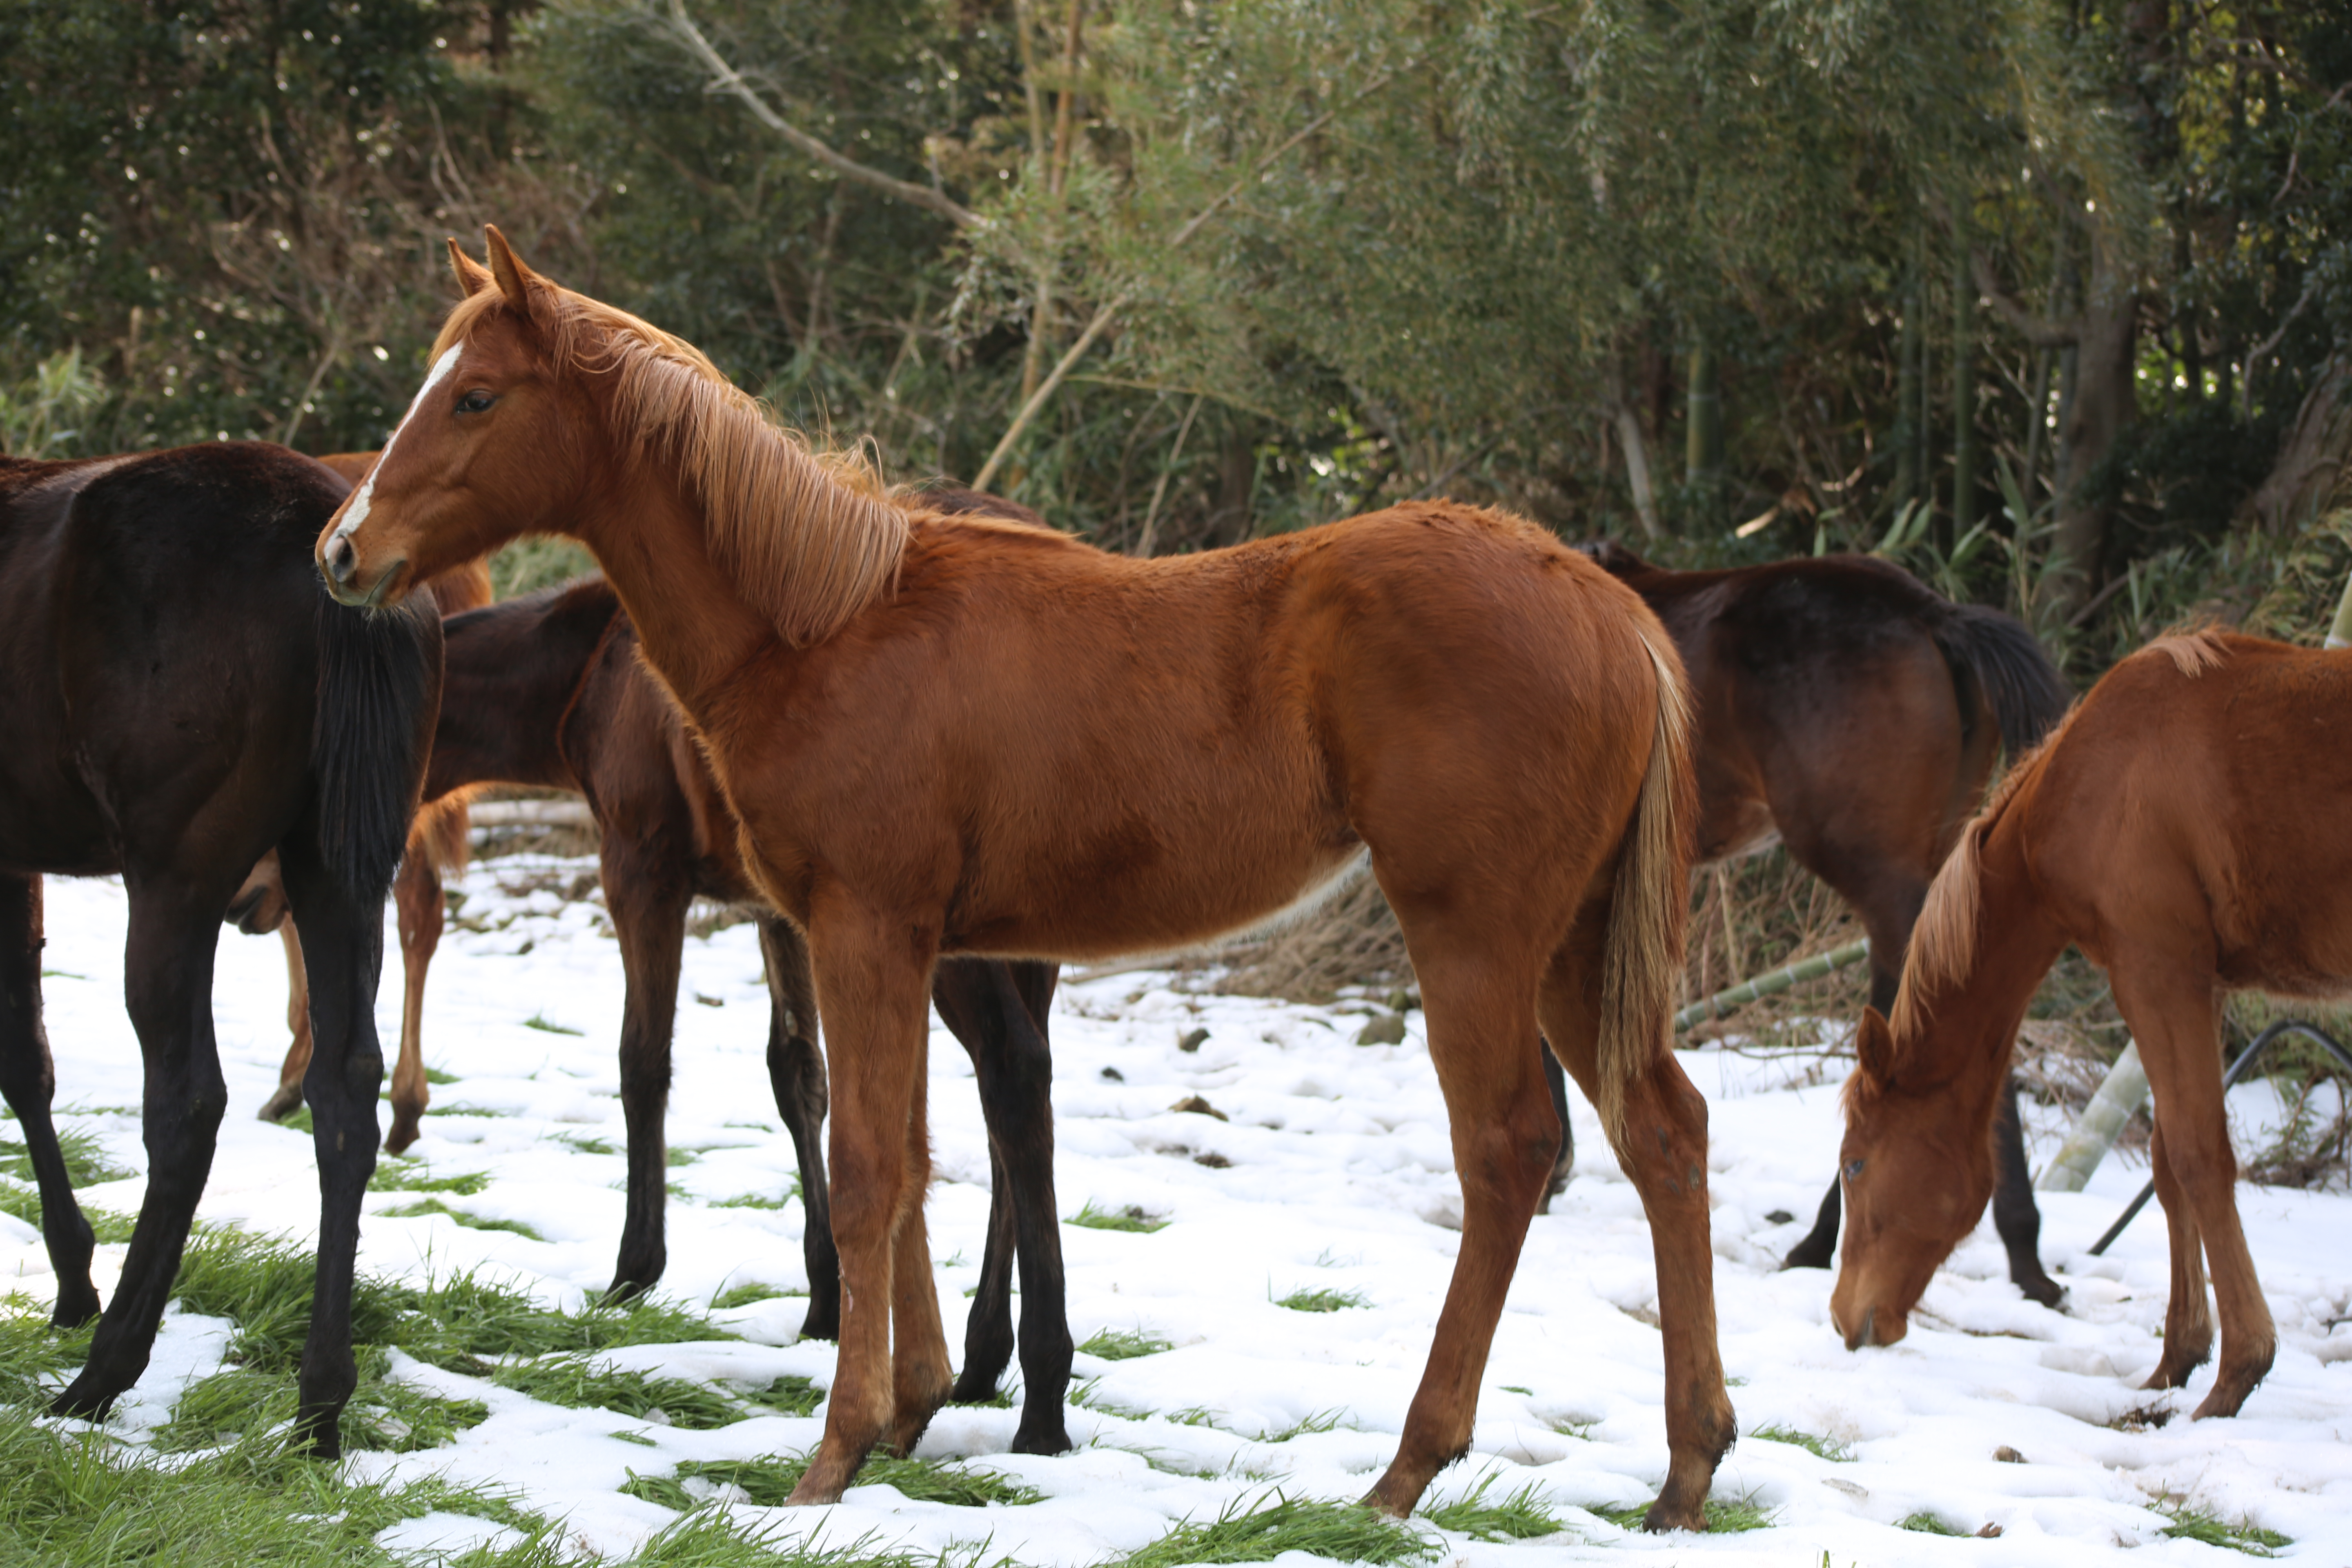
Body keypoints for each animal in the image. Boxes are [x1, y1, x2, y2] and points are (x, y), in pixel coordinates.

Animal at [0, 435, 440, 1457]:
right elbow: (26, 1061)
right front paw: (71, 1281)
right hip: (335, 867)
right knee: (344, 1091)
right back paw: (320, 1404)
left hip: (177, 882)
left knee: (187, 1106)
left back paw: (105, 1373)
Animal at [308, 236, 1731, 1532]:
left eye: (475, 396)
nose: (342, 551)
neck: (824, 624)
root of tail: (1610, 607)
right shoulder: (899, 940)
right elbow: (918, 1158)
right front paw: (914, 1403)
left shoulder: (858, 926)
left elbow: (864, 1166)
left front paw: (834, 1453)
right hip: (1572, 943)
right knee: (1664, 1129)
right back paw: (1686, 1470)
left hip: (1476, 935)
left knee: (1509, 1150)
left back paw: (1408, 1469)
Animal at [1834, 630, 2352, 1420]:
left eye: (1856, 1164)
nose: (1842, 1318)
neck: (2100, 777)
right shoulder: (2197, 984)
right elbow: (2169, 1164)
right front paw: (2177, 1359)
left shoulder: (2155, 969)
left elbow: (2200, 1159)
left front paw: (2237, 1373)